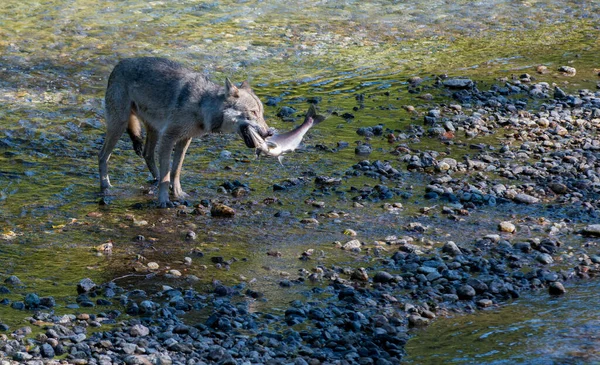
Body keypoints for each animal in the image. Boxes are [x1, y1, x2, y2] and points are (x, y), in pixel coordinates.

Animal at [98, 55, 270, 206]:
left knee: (147, 154)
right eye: (253, 112)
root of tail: (118, 65)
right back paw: (106, 187)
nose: (269, 133)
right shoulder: (168, 138)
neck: (202, 105)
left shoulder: (184, 140)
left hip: (154, 130)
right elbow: (167, 175)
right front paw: (164, 200)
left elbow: (175, 171)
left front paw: (178, 193)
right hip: (120, 125)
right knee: (103, 156)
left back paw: (154, 180)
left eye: (262, 113)